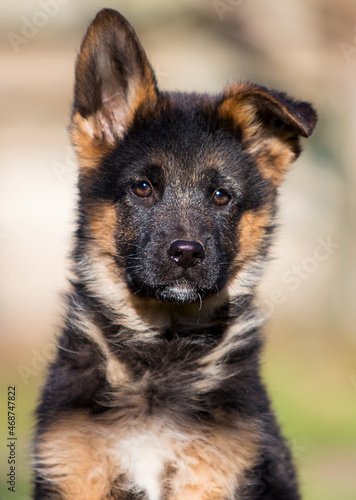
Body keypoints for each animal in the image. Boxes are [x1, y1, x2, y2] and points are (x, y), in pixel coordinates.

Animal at [33, 8, 318, 500]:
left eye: (222, 196)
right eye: (143, 187)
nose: (186, 254)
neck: (163, 352)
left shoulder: (214, 478)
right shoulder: (74, 475)